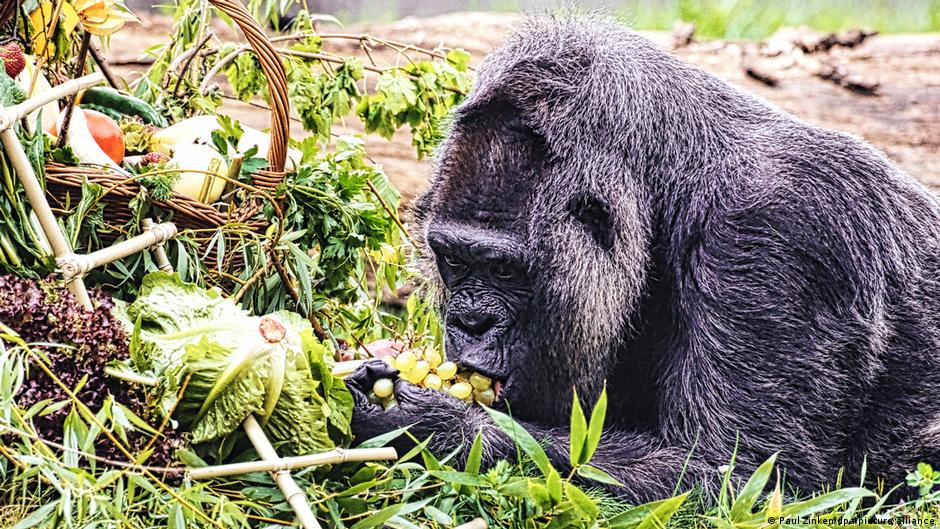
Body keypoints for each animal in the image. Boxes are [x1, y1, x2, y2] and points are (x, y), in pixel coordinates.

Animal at [345, 15, 940, 503]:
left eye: (503, 269)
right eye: (454, 261)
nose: (470, 322)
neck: (672, 185)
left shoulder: (779, 232)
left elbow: (744, 477)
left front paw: (430, 423)